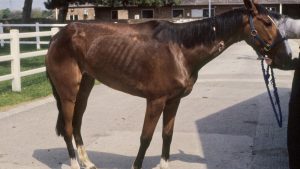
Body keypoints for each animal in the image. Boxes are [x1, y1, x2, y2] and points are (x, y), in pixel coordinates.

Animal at [46, 0, 292, 168]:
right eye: (267, 22)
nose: (287, 57)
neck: (179, 49)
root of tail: (58, 36)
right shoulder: (155, 101)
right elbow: (145, 138)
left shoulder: (173, 101)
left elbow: (167, 136)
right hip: (68, 93)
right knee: (68, 128)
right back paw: (75, 164)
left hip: (84, 88)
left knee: (77, 124)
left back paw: (87, 162)